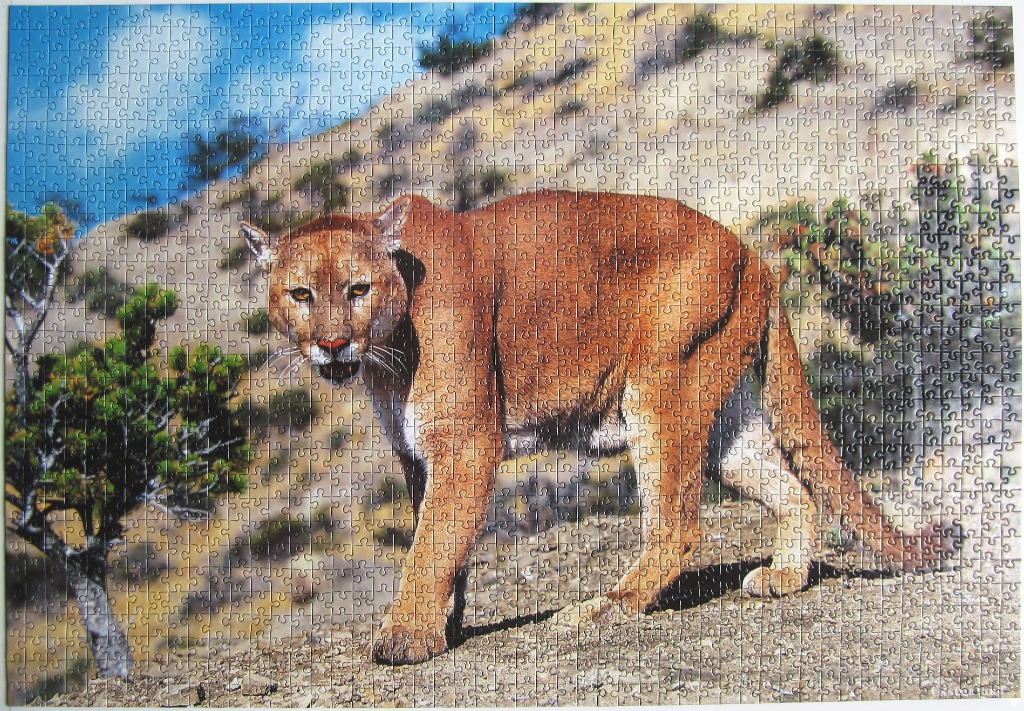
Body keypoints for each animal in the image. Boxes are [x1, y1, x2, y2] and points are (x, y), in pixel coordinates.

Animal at [242, 189, 960, 665]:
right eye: (301, 294)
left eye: (357, 288)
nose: (332, 344)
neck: (386, 353)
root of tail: (755, 256)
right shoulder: (416, 455)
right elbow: (441, 541)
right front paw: (441, 623)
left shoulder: (464, 444)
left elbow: (432, 544)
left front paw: (407, 635)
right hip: (722, 414)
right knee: (794, 488)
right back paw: (783, 577)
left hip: (659, 389)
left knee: (677, 525)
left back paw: (602, 606)